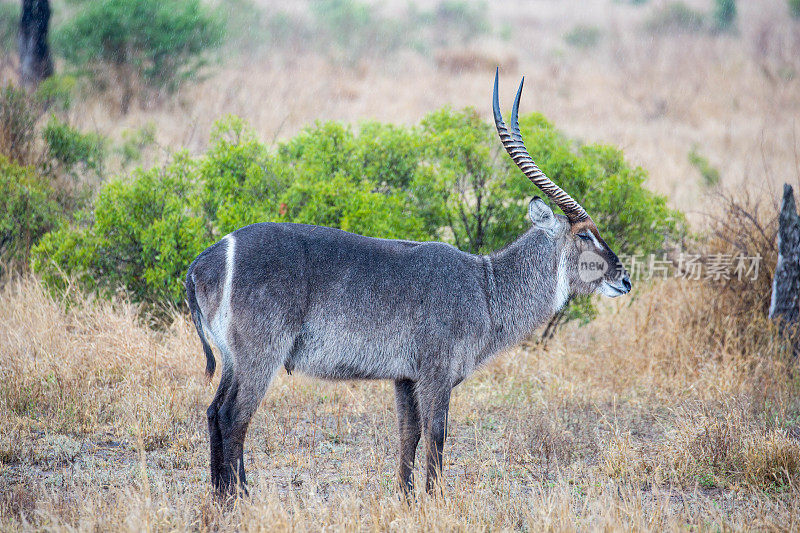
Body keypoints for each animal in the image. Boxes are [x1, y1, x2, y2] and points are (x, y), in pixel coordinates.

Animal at [186, 69, 632, 494]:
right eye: (585, 234)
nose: (625, 278)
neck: (487, 286)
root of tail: (204, 260)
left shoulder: (405, 377)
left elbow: (408, 436)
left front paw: (404, 497)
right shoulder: (437, 372)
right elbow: (437, 434)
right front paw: (435, 499)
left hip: (234, 359)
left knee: (213, 412)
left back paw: (222, 496)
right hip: (259, 355)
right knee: (234, 418)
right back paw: (238, 499)